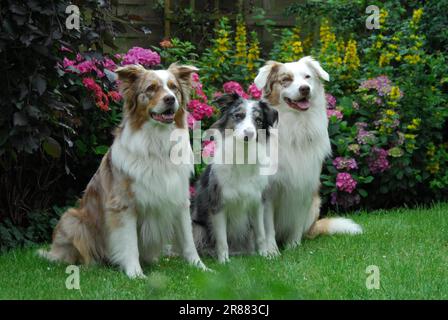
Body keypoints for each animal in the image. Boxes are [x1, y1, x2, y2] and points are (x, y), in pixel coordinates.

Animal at [38, 63, 206, 278]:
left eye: (173, 87)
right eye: (151, 88)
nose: (170, 99)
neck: (157, 143)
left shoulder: (179, 200)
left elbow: (188, 241)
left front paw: (201, 267)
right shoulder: (123, 206)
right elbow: (129, 243)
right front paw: (135, 274)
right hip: (71, 218)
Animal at [254, 55, 362, 255]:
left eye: (307, 77)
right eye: (286, 79)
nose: (305, 89)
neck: (297, 126)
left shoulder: (305, 186)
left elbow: (296, 224)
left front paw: (294, 247)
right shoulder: (268, 192)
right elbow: (268, 226)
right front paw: (272, 252)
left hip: (315, 204)